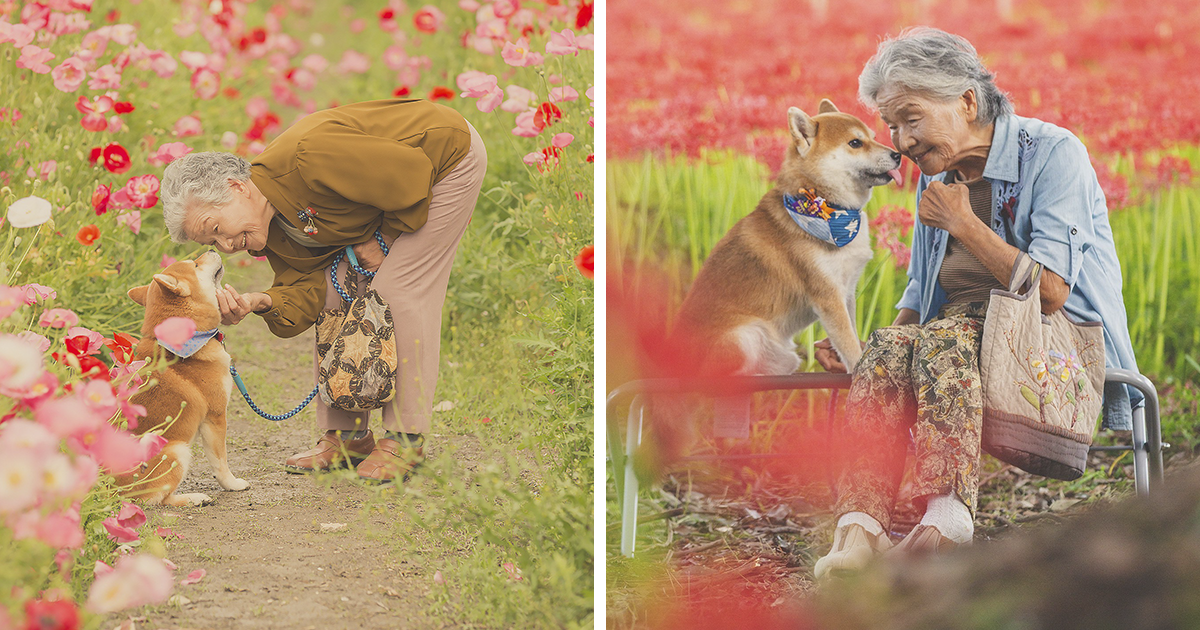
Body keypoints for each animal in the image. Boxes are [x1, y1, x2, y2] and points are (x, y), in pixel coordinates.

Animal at [114, 250, 250, 506]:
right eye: (196, 264)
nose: (212, 249)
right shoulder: (215, 417)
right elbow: (221, 463)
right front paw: (233, 484)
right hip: (178, 450)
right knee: (157, 499)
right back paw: (193, 498)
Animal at [638, 99, 902, 482]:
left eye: (873, 135)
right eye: (856, 143)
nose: (898, 154)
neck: (827, 211)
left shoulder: (848, 291)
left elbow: (850, 333)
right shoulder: (827, 295)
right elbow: (851, 345)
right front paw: (859, 367)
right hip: (745, 335)